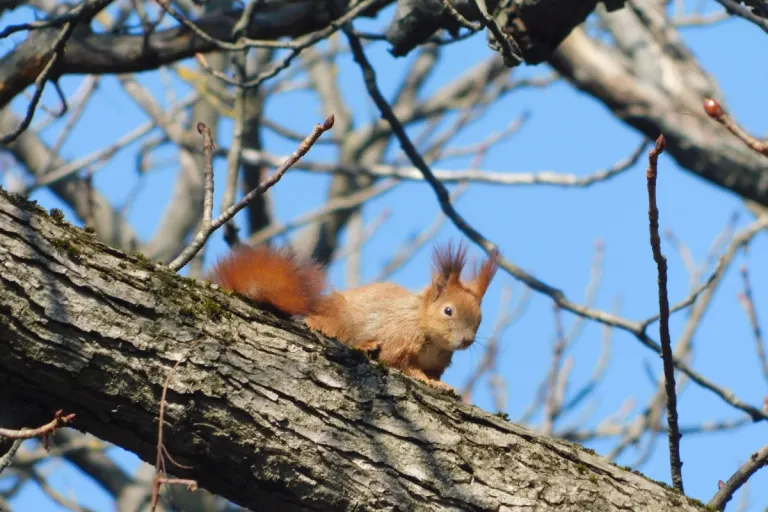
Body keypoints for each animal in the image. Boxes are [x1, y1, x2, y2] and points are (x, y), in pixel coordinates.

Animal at [207, 240, 499, 393]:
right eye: (448, 311)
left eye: (481, 317)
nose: (466, 341)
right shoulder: (399, 337)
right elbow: (400, 362)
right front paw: (426, 380)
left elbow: (435, 373)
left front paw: (442, 384)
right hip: (340, 322)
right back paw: (365, 345)